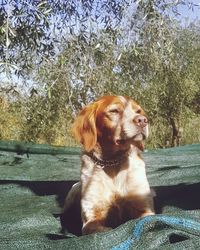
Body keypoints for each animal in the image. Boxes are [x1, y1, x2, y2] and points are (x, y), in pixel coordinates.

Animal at [64, 95, 155, 234]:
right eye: (114, 111)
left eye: (138, 111)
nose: (143, 120)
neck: (113, 163)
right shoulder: (92, 217)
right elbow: (100, 228)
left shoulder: (144, 208)